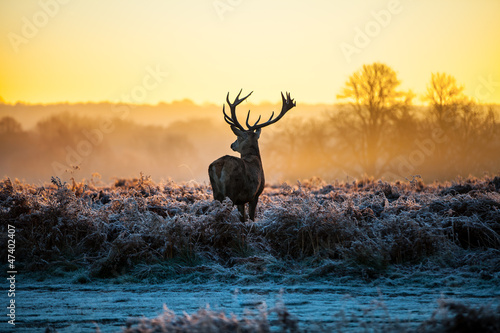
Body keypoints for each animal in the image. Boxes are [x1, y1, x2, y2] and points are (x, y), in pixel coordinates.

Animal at [208, 89, 294, 222]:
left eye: (238, 137)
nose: (232, 145)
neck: (254, 158)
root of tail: (220, 165)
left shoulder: (242, 200)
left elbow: (243, 217)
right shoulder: (255, 194)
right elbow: (251, 217)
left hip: (216, 192)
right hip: (232, 191)